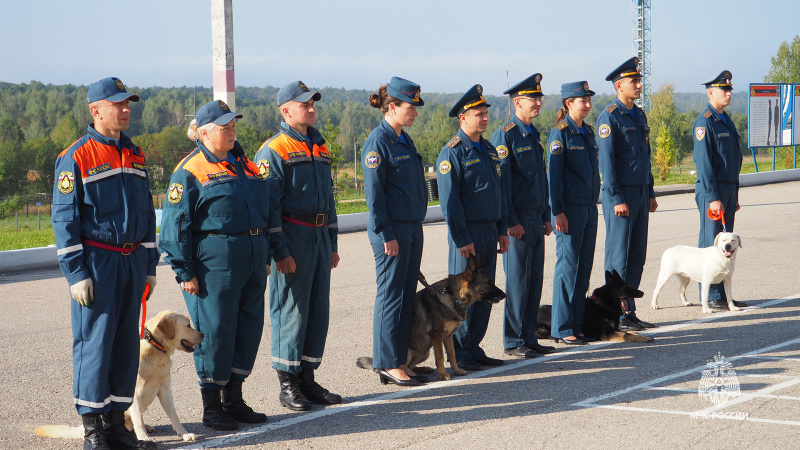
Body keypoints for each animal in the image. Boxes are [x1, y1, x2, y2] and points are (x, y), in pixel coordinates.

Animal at [38, 310, 206, 442]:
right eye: (188, 325)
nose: (203, 334)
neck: (155, 347)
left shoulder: (165, 389)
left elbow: (174, 416)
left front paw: (184, 434)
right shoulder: (134, 393)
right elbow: (138, 418)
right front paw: (143, 438)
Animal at [358, 256, 504, 380]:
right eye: (488, 282)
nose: (505, 295)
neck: (453, 295)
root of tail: (377, 365)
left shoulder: (448, 336)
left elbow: (452, 354)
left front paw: (457, 370)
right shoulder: (437, 335)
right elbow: (440, 356)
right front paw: (443, 375)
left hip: (424, 353)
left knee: (411, 367)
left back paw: (423, 370)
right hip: (409, 353)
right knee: (403, 366)